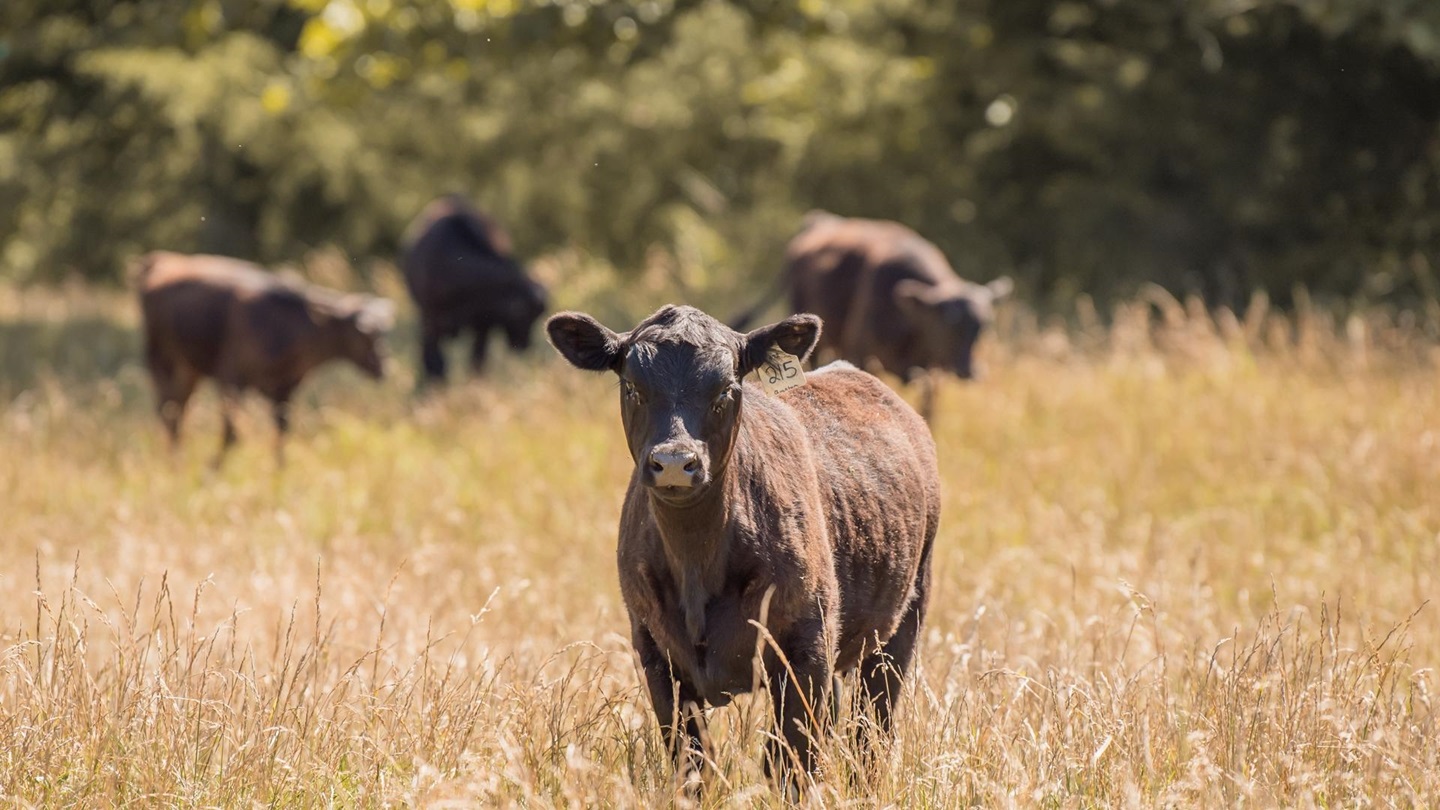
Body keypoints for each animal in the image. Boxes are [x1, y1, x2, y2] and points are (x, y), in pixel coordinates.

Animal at [134, 251, 394, 467]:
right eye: (362, 334)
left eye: (382, 333)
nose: (382, 367)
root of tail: (159, 259)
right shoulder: (231, 378)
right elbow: (232, 433)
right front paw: (213, 468)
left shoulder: (285, 388)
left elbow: (282, 431)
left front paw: (280, 471)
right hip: (161, 361)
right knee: (168, 413)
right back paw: (175, 462)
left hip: (189, 369)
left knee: (177, 411)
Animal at [400, 195, 547, 384]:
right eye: (522, 317)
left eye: (535, 318)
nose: (525, 346)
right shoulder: (429, 317)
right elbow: (433, 356)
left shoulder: (483, 323)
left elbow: (477, 358)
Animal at [546, 304, 940, 789]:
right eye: (632, 387)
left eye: (726, 389)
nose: (674, 462)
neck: (697, 563)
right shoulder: (657, 657)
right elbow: (692, 766)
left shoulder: (805, 650)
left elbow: (790, 763)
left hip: (902, 621)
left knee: (872, 729)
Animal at [733, 211, 1013, 419]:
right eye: (949, 325)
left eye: (984, 326)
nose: (970, 371)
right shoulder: (861, 354)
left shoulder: (932, 372)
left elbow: (929, 410)